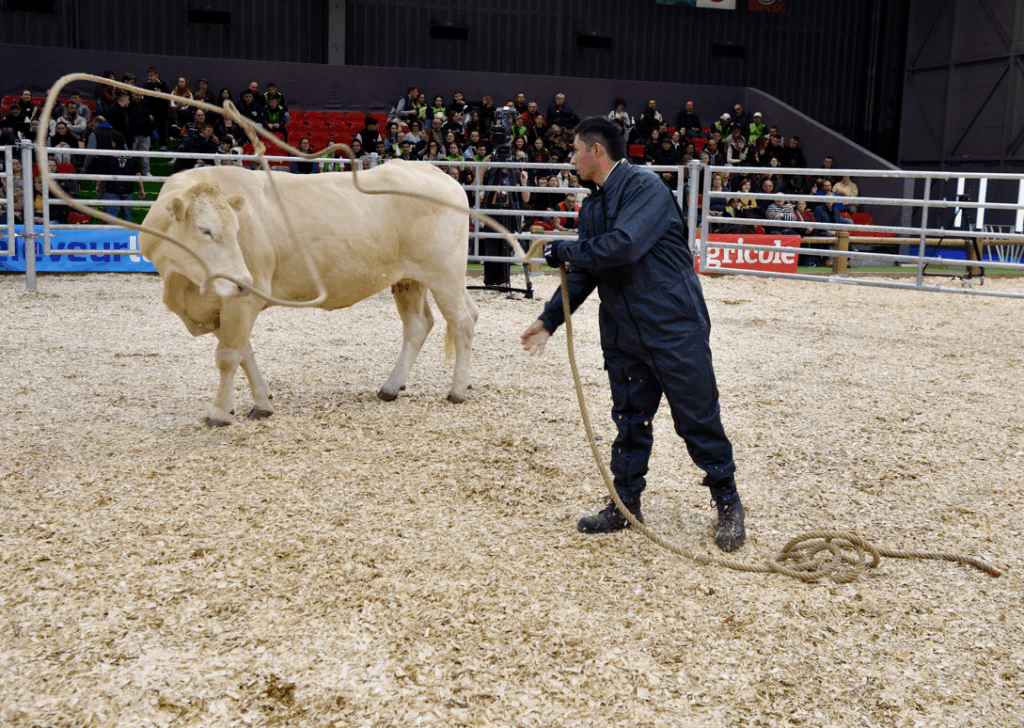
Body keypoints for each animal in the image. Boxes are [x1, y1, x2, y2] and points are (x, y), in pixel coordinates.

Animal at [139, 161, 478, 426]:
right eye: (205, 230)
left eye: (236, 229)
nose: (242, 280)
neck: (181, 283)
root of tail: (434, 171)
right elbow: (245, 353)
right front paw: (262, 402)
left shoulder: (243, 300)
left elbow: (228, 355)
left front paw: (219, 412)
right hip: (409, 280)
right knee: (419, 325)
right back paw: (391, 387)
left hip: (444, 274)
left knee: (461, 321)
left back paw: (457, 391)